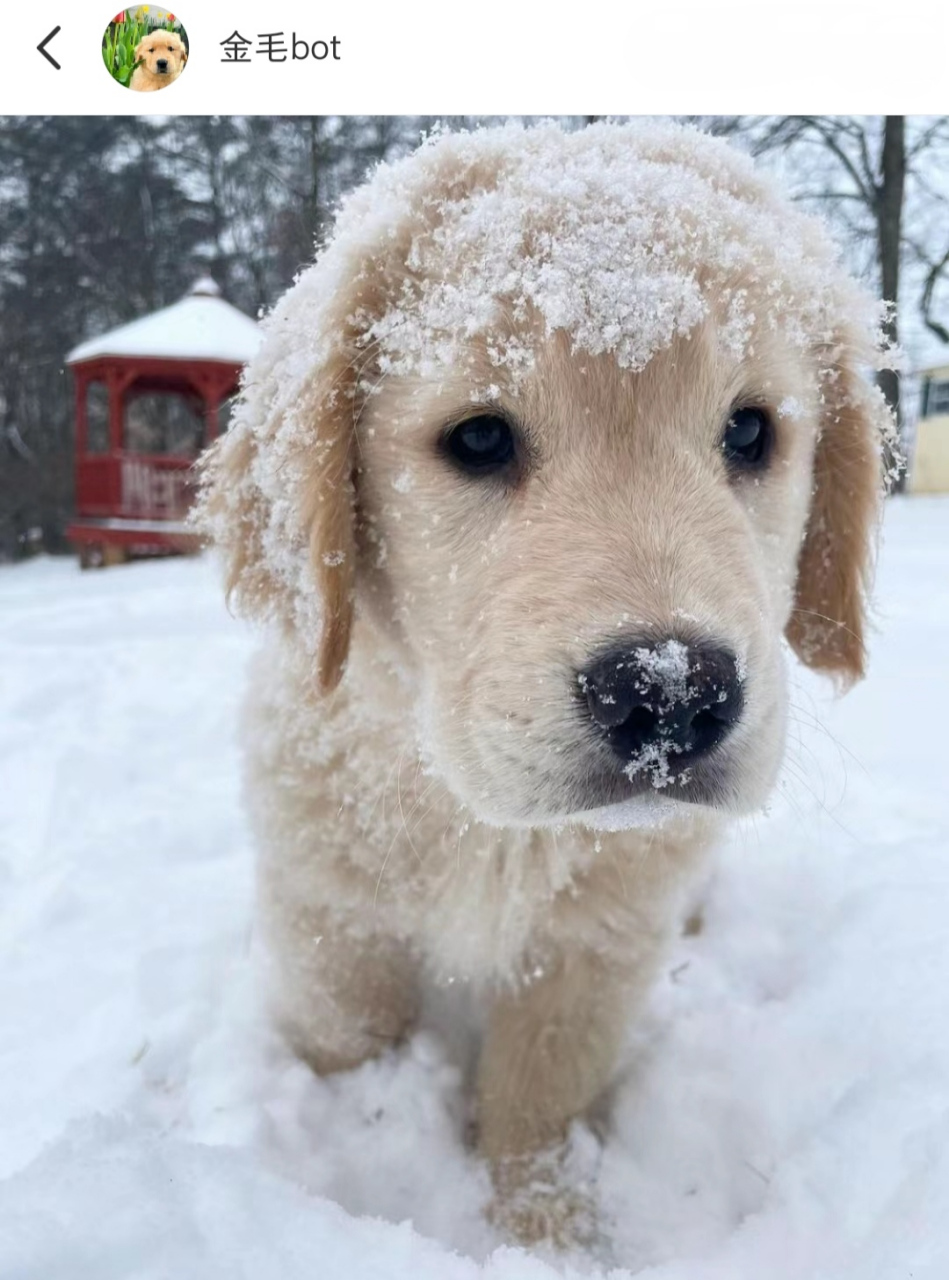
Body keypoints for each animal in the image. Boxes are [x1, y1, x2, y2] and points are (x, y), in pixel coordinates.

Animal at [194, 122, 896, 1249]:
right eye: (479, 437)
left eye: (751, 432)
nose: (670, 694)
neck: (484, 824)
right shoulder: (328, 909)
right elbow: (350, 1036)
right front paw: (357, 1140)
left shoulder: (599, 943)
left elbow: (541, 1095)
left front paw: (551, 1229)